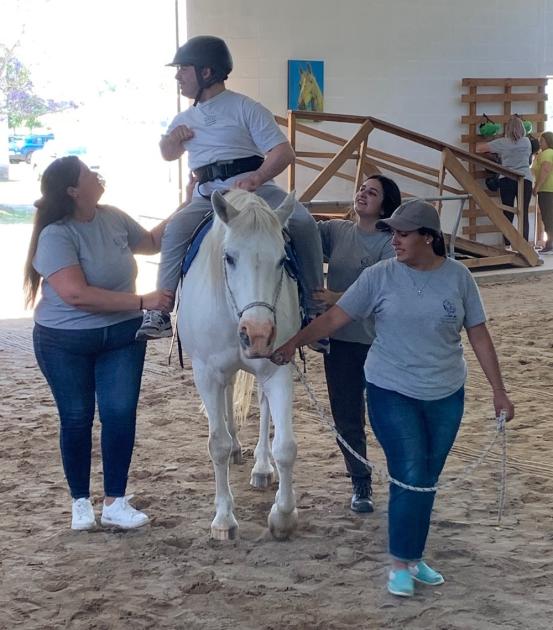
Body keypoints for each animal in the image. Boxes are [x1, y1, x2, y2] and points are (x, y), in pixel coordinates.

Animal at [177, 189, 300, 544]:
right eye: (229, 257)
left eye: (282, 260)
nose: (257, 334)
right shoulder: (206, 374)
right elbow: (216, 444)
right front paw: (223, 519)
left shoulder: (278, 370)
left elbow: (285, 446)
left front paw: (283, 515)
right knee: (228, 395)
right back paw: (235, 446)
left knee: (261, 406)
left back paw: (261, 466)